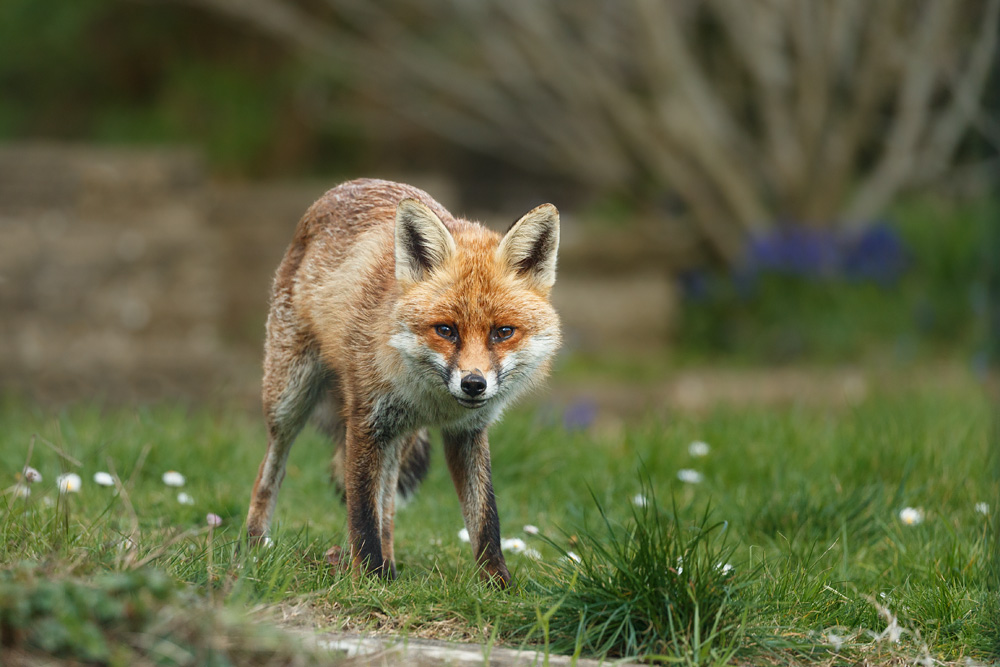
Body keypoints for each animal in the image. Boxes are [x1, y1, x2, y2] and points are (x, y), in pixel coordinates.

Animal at [245, 178, 560, 588]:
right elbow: (362, 514)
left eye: (503, 332)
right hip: (289, 399)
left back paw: (391, 564)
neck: (434, 401)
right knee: (271, 470)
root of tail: (346, 185)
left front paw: (498, 585)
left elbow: (485, 517)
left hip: (399, 436)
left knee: (389, 500)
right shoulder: (365, 421)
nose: (473, 384)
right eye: (446, 330)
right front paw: (366, 579)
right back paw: (254, 545)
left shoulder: (468, 432)